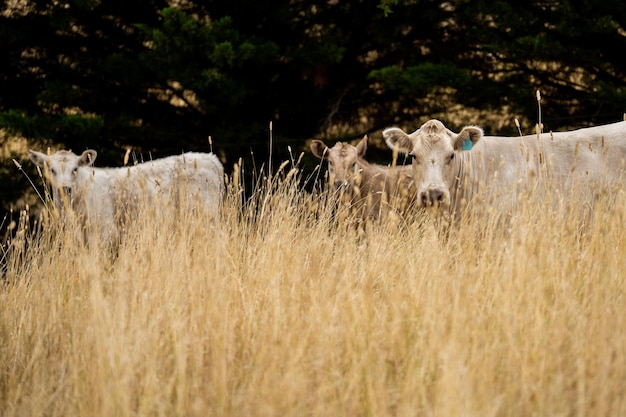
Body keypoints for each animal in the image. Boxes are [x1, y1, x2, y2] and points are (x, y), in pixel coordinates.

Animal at [29, 149, 224, 240]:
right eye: (52, 170)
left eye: (75, 169)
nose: (65, 188)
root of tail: (210, 158)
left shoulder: (105, 233)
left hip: (207, 218)